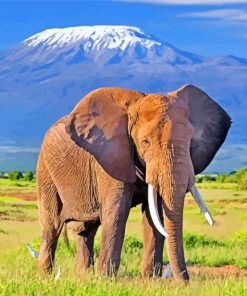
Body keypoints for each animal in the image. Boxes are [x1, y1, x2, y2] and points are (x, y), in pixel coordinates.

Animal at [35, 84, 231, 282]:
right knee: (52, 226)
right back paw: (46, 277)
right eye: (145, 142)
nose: (185, 283)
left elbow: (155, 214)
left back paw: (84, 277)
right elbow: (117, 211)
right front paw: (106, 281)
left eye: (190, 141)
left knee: (86, 230)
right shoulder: (110, 157)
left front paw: (150, 281)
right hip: (45, 170)